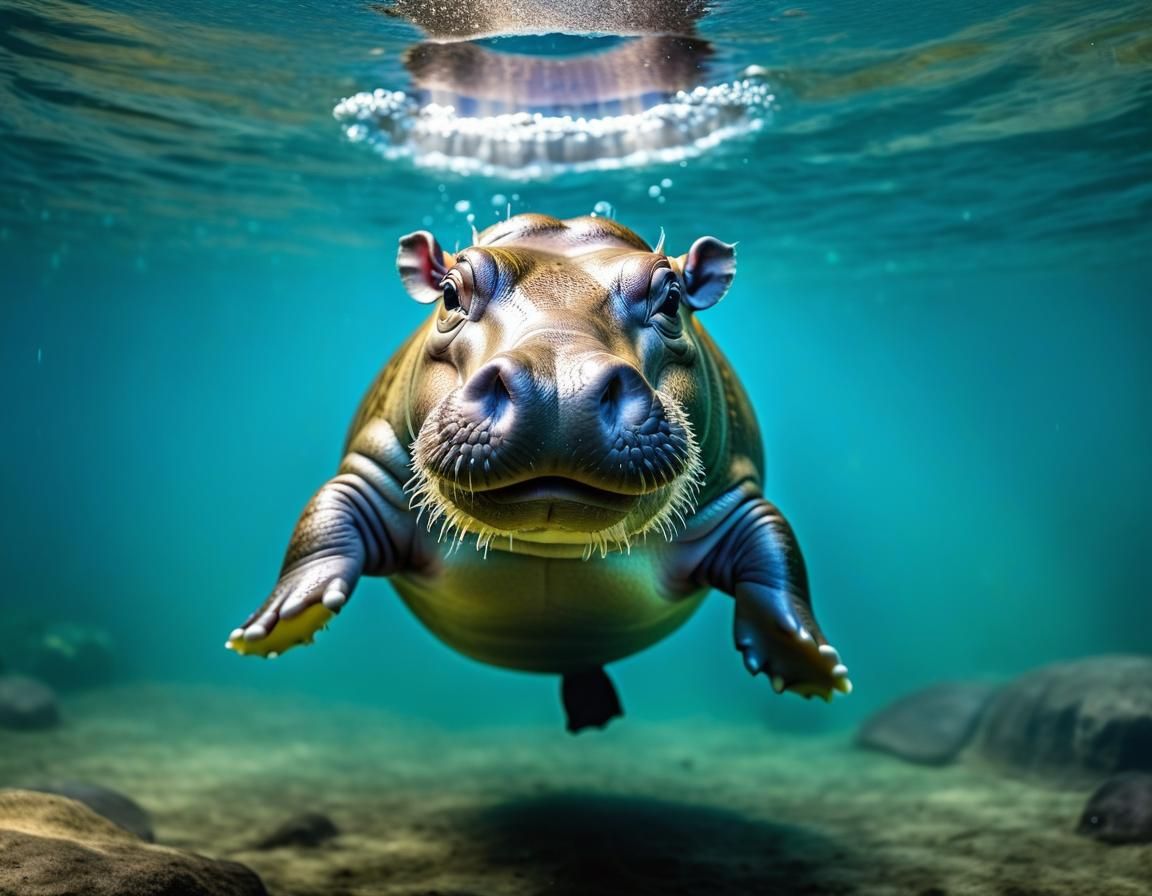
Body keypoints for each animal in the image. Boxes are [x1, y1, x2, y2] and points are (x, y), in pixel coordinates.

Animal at [227, 214, 850, 731]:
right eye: (450, 292)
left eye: (672, 299)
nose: (559, 381)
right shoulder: (371, 463)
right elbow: (328, 517)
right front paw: (276, 622)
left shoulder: (735, 490)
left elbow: (774, 552)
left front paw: (813, 664)